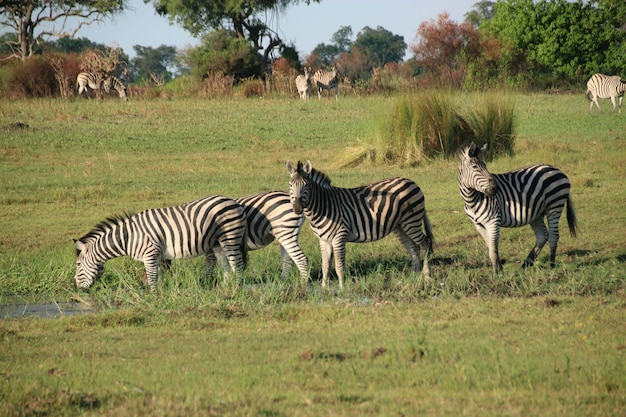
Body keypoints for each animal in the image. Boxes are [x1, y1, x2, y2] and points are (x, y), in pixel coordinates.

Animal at [73, 194, 246, 290]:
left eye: (78, 264)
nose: (76, 287)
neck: (128, 237)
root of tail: (233, 201)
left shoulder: (150, 254)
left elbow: (152, 279)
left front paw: (154, 299)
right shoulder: (157, 257)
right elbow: (158, 278)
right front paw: (161, 297)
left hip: (230, 236)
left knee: (237, 265)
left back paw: (236, 290)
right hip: (217, 242)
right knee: (225, 266)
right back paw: (225, 290)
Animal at [286, 160, 432, 290]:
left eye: (306, 185)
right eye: (290, 185)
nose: (297, 208)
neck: (323, 207)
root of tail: (410, 181)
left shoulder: (339, 237)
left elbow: (339, 266)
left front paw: (342, 289)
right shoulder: (324, 240)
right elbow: (325, 266)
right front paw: (324, 289)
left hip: (411, 222)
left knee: (425, 244)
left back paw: (427, 276)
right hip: (400, 226)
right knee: (413, 248)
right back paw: (414, 277)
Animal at [458, 141, 576, 274]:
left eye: (485, 166)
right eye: (475, 167)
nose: (495, 188)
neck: (472, 200)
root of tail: (557, 170)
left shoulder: (493, 221)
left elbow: (493, 249)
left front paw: (497, 273)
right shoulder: (478, 225)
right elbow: (491, 249)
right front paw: (498, 268)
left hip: (554, 206)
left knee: (553, 236)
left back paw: (551, 265)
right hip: (537, 213)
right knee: (543, 236)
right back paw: (526, 264)